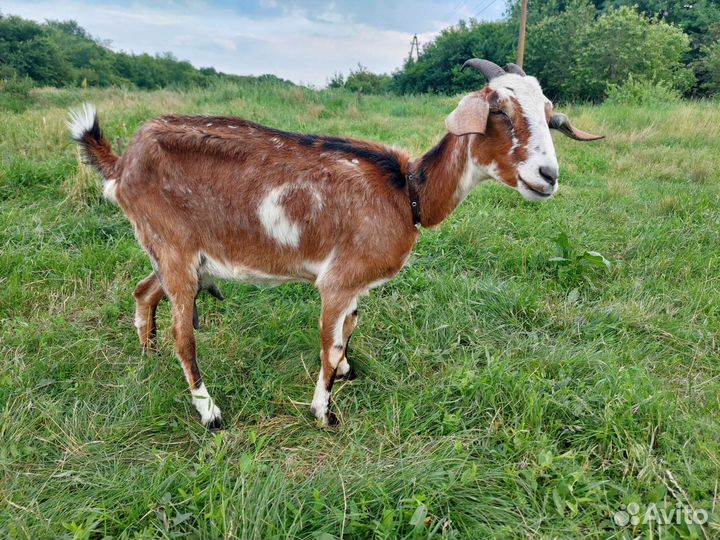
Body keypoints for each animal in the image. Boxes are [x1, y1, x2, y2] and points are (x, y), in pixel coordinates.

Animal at [68, 59, 603, 428]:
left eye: (550, 117)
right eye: (498, 111)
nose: (547, 176)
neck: (407, 192)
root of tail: (123, 163)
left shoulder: (357, 287)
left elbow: (350, 329)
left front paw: (346, 371)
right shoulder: (338, 281)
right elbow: (330, 341)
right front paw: (323, 411)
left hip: (174, 253)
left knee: (144, 292)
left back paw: (148, 353)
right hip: (176, 250)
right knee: (185, 335)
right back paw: (210, 412)